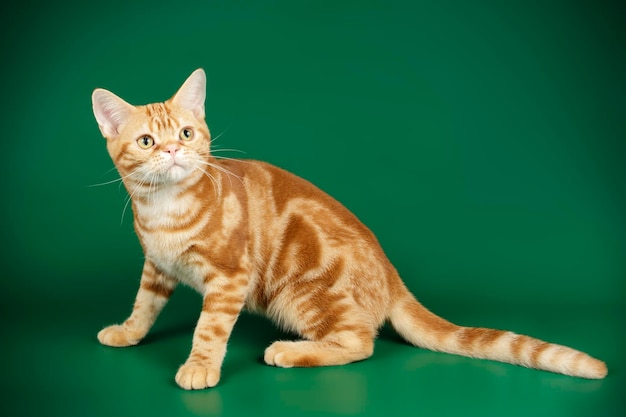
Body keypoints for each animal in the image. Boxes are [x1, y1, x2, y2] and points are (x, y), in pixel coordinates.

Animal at [91, 66, 604, 388]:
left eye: (187, 133)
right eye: (147, 141)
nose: (174, 151)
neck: (163, 210)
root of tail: (391, 274)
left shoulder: (229, 278)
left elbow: (209, 330)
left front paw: (199, 367)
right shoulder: (157, 266)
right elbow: (144, 305)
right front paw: (127, 332)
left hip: (301, 291)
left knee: (360, 342)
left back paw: (290, 351)